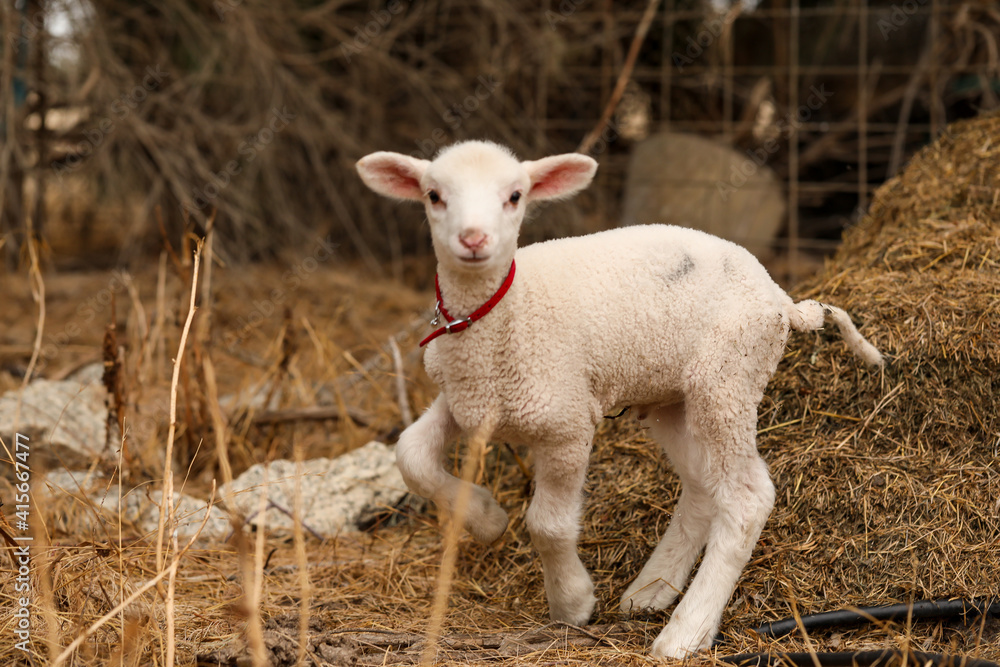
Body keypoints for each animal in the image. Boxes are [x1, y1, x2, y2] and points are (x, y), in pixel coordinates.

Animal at [355, 140, 883, 659]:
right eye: (433, 195)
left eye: (515, 196)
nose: (473, 240)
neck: (506, 314)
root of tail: (782, 300)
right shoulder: (461, 398)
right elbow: (411, 455)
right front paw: (487, 519)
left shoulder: (566, 424)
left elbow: (548, 524)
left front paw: (572, 604)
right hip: (676, 398)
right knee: (701, 487)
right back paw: (652, 589)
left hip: (728, 380)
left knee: (747, 498)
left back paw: (684, 633)